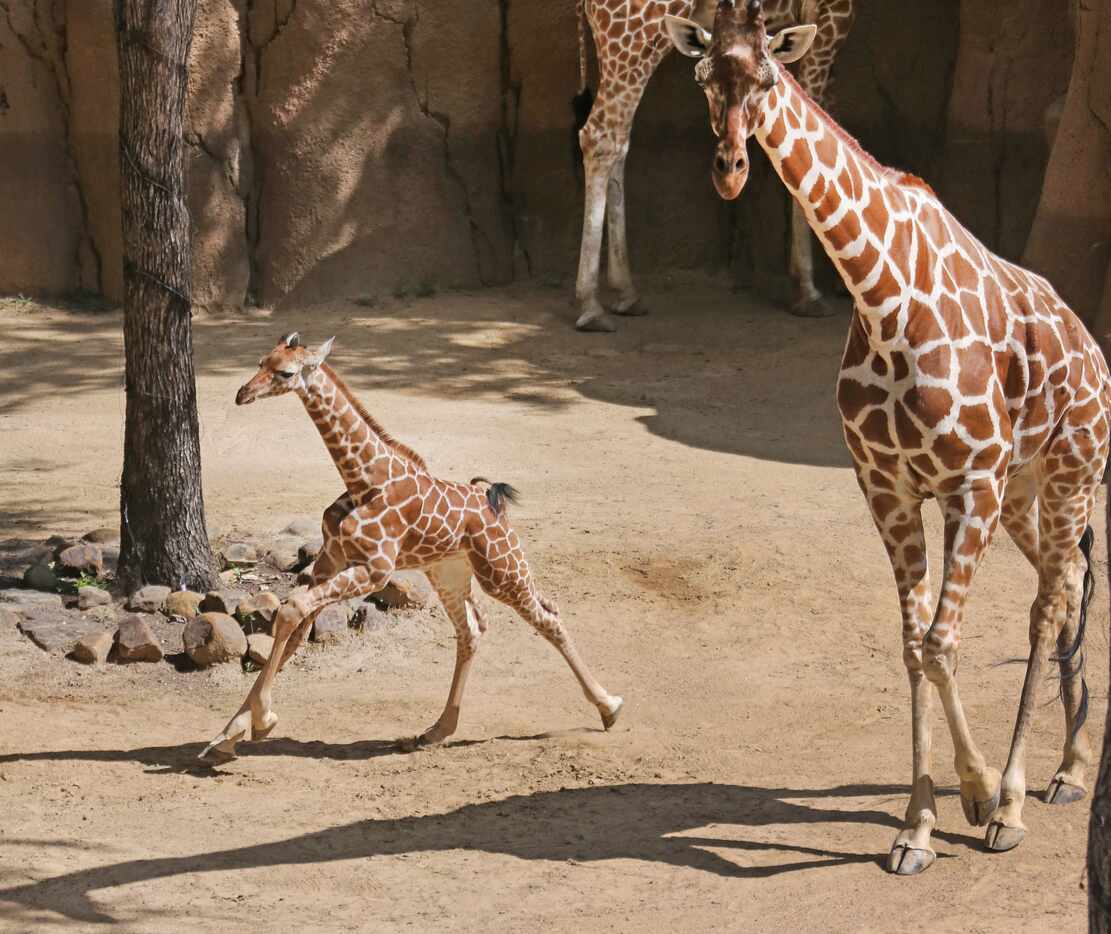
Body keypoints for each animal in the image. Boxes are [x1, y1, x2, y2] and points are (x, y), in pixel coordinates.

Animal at [195, 335, 622, 764]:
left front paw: (260, 721)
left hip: (502, 569)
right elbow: (294, 628)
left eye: (285, 372)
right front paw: (228, 735)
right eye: (262, 361)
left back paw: (610, 707)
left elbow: (291, 611)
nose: (243, 393)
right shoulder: (331, 560)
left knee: (548, 617)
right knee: (471, 631)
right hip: (449, 573)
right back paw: (435, 731)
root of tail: (491, 500)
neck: (364, 481)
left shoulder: (374, 570)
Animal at [577, 0, 853, 330]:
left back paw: (625, 293)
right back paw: (590, 306)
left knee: (619, 140)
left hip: (612, 41)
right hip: (633, 33)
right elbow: (813, 135)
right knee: (599, 135)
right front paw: (808, 291)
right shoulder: (832, 12)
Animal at [666, 0, 1111, 875]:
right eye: (702, 76)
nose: (729, 170)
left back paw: (1020, 798)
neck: (879, 296)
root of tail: (1093, 351)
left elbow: (939, 643)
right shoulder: (890, 489)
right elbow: (912, 647)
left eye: (767, 79)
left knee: (1046, 604)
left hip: (1069, 473)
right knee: (1066, 583)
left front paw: (981, 800)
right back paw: (1070, 769)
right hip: (1021, 493)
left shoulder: (966, 485)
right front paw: (922, 823)